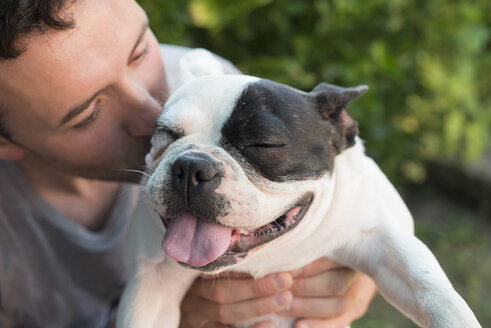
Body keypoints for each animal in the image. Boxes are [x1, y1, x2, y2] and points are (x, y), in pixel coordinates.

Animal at [116, 49, 484, 328]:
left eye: (263, 143)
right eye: (167, 134)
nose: (192, 165)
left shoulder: (379, 237)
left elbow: (427, 284)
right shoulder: (153, 281)